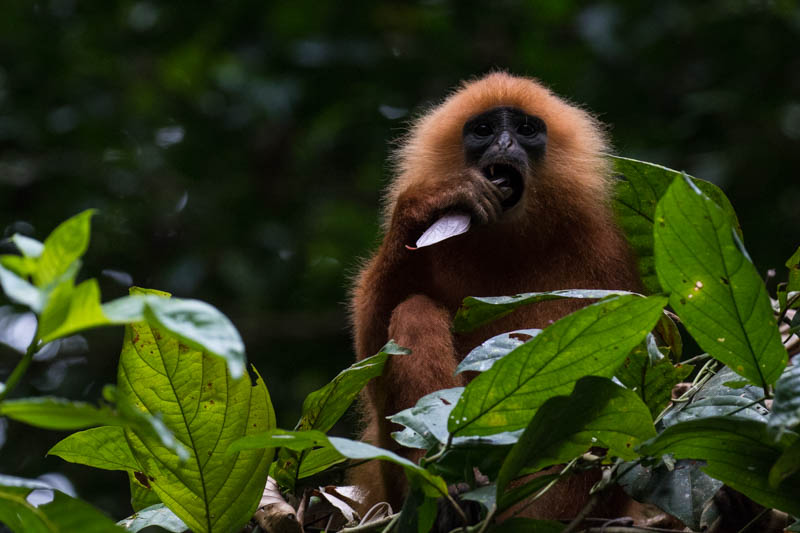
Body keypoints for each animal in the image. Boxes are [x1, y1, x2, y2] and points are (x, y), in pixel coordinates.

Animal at [350, 74, 644, 516]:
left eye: (525, 129)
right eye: (485, 130)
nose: (504, 144)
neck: (507, 246)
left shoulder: (605, 254)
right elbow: (368, 368)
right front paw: (422, 206)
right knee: (414, 311)